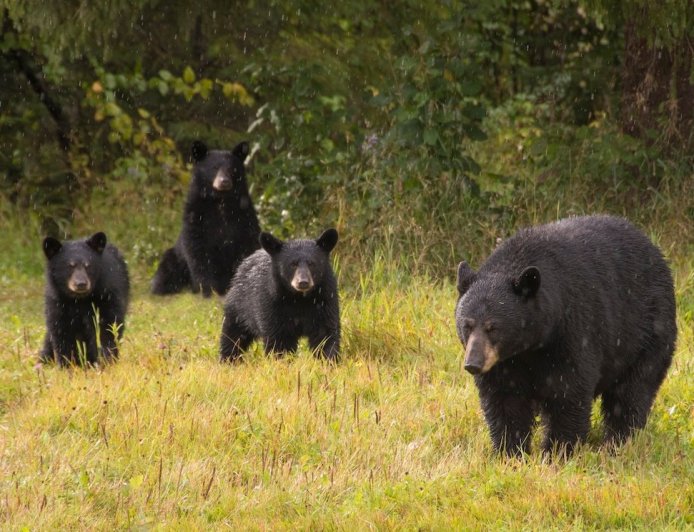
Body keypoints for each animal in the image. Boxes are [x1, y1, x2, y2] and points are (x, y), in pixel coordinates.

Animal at [41, 232, 130, 367]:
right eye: (70, 266)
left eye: (88, 265)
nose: (81, 284)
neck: (79, 299)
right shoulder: (58, 303)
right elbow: (61, 332)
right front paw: (66, 365)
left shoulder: (106, 296)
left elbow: (108, 327)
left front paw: (107, 360)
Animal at [151, 140, 261, 297]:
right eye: (214, 168)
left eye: (232, 169)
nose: (224, 181)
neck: (221, 201)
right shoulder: (195, 217)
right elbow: (199, 252)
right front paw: (209, 290)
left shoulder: (245, 216)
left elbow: (247, 244)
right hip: (174, 258)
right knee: (166, 272)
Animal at [220, 228, 340, 362]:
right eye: (292, 264)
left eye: (312, 263)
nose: (303, 282)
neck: (299, 299)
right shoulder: (272, 303)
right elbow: (279, 339)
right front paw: (281, 360)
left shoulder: (324, 300)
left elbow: (325, 333)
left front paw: (329, 360)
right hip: (239, 306)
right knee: (233, 334)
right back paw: (229, 359)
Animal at [454, 215, 676, 458]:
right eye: (467, 325)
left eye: (493, 327)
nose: (473, 363)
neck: (529, 347)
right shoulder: (503, 363)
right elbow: (504, 399)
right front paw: (510, 452)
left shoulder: (571, 332)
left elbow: (568, 391)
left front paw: (557, 451)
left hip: (647, 333)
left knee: (631, 392)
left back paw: (617, 442)